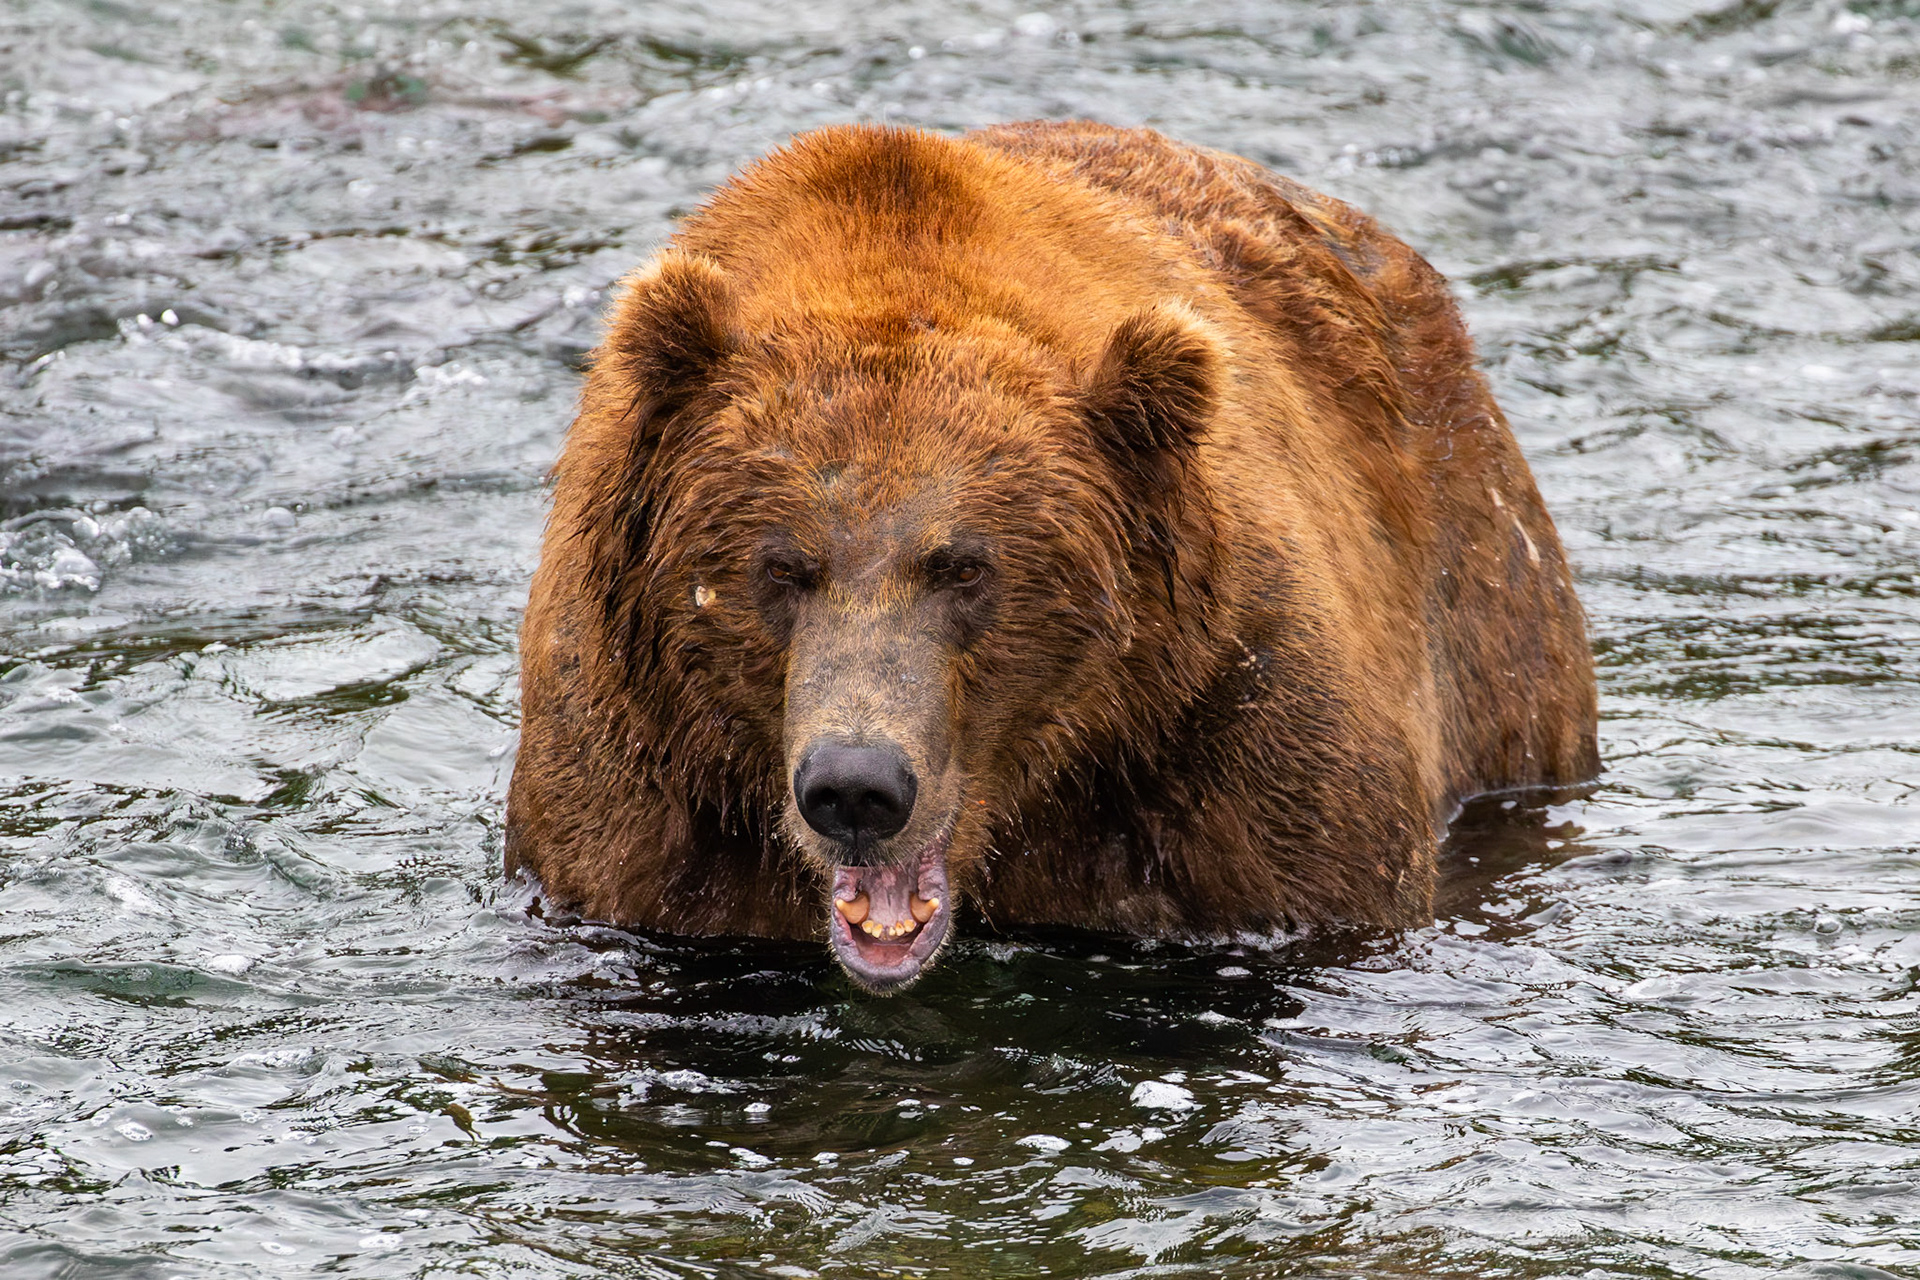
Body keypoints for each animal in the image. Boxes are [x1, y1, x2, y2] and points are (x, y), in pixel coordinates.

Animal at [505, 121, 1599, 993]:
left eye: (965, 566)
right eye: (780, 566)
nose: (857, 785)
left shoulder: (1230, 746)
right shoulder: (642, 810)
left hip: (1496, 624)